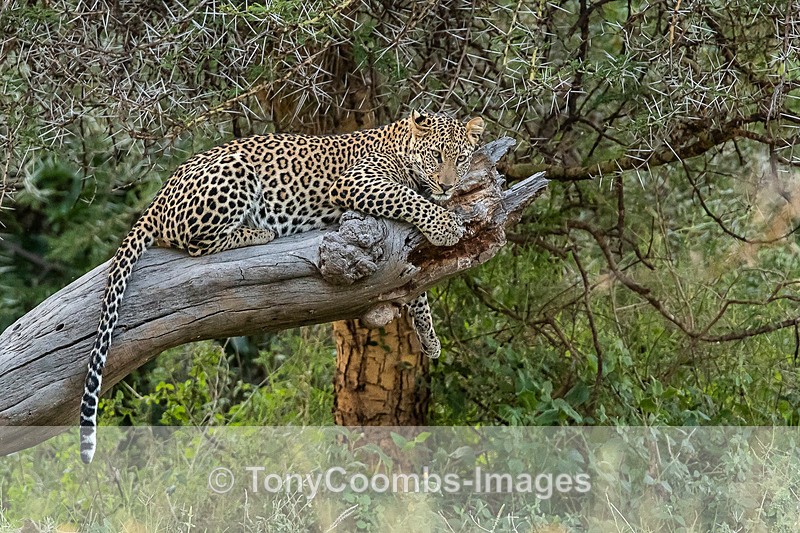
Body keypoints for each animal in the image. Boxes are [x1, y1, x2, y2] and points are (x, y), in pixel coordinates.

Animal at [79, 110, 485, 463]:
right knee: (192, 241)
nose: (448, 185)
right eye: (436, 155)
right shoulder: (359, 181)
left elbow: (415, 283)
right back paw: (259, 231)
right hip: (234, 173)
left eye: (462, 159)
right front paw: (446, 225)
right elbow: (408, 198)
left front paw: (429, 338)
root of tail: (160, 193)